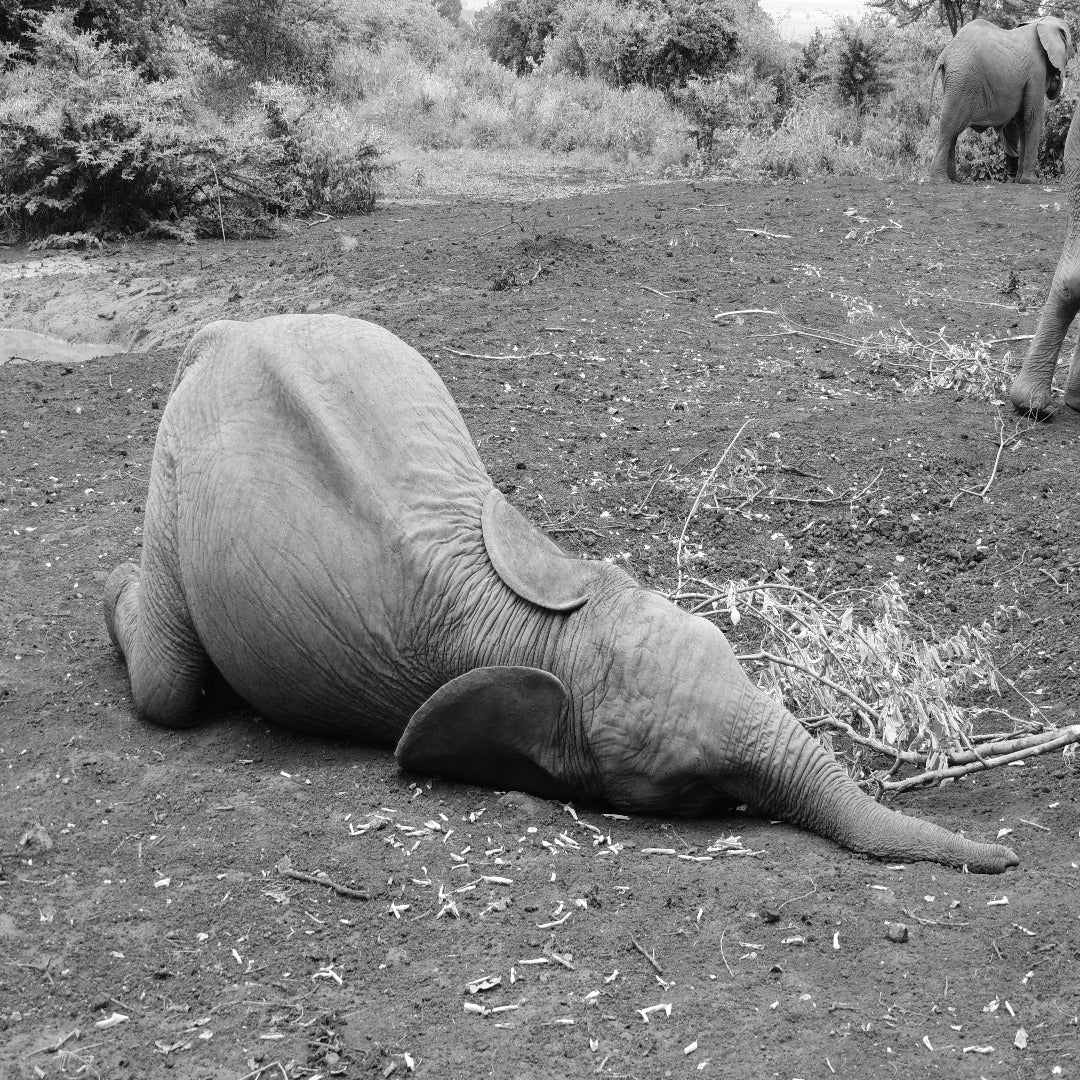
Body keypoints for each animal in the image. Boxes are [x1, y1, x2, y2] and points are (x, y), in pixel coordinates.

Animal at [107, 313, 1019, 868]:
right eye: (693, 792)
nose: (1007, 858)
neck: (536, 630)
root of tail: (222, 332)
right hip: (173, 461)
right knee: (166, 690)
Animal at [928, 16, 1071, 183]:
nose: (1058, 80)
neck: (1040, 23)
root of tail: (945, 53)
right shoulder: (1036, 72)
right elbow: (1032, 116)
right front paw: (1032, 182)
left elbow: (1022, 123)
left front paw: (1019, 181)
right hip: (962, 81)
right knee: (949, 126)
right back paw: (940, 180)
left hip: (954, 80)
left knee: (953, 130)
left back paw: (955, 180)